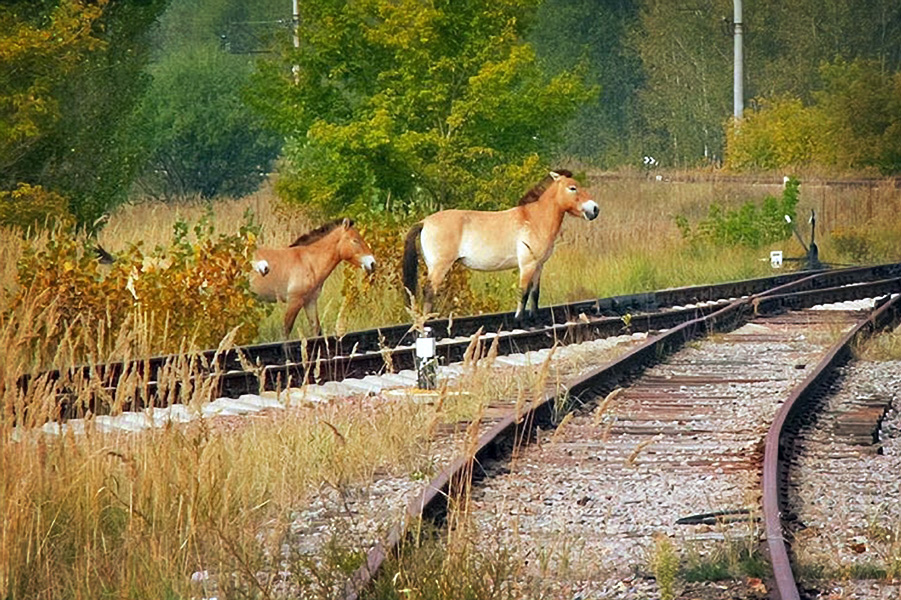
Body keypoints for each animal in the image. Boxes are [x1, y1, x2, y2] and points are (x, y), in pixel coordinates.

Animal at [402, 171, 596, 322]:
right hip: (440, 266)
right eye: (572, 188)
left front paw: (533, 317)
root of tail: (425, 222)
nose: (595, 209)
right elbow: (523, 292)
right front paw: (519, 320)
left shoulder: (539, 265)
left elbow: (534, 293)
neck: (533, 219)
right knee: (429, 291)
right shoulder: (527, 265)